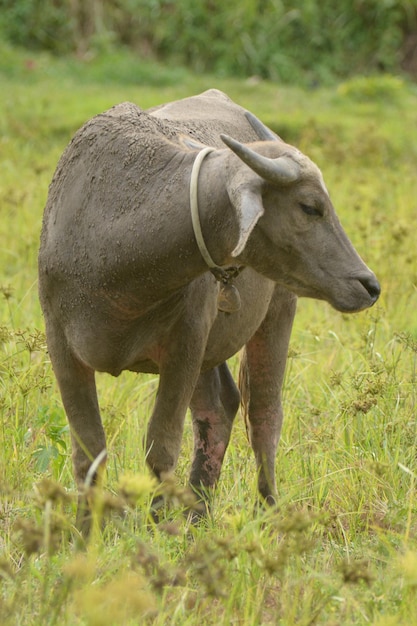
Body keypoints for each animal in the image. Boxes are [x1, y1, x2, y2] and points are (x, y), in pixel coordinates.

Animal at [39, 86, 380, 528]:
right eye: (310, 206)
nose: (368, 284)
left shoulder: (186, 339)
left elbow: (161, 444)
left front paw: (157, 525)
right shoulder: (61, 343)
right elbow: (89, 451)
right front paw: (84, 530)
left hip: (277, 311)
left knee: (263, 414)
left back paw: (266, 510)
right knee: (220, 408)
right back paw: (197, 513)